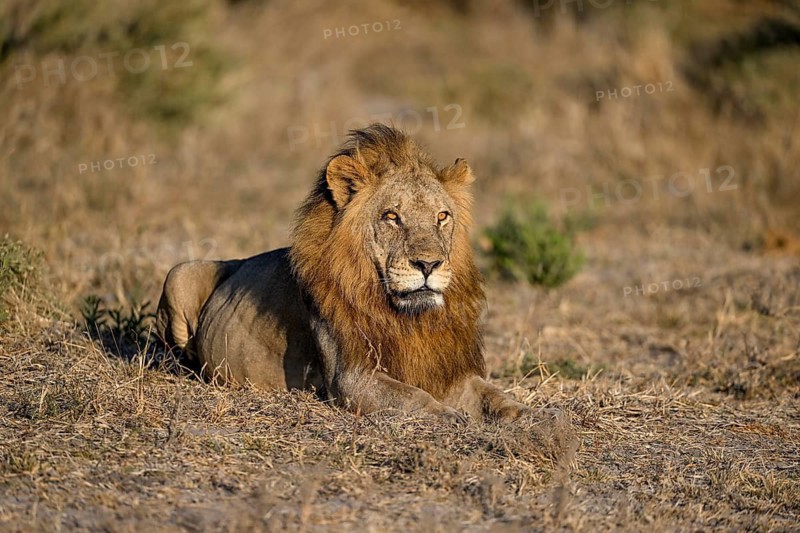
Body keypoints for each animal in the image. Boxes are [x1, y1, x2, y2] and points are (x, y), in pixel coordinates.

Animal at [156, 124, 554, 424]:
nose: (428, 265)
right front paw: (449, 416)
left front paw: (535, 416)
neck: (408, 318)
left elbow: (494, 395)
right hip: (180, 273)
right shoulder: (351, 377)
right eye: (392, 216)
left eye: (442, 216)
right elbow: (412, 397)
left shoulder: (448, 369)